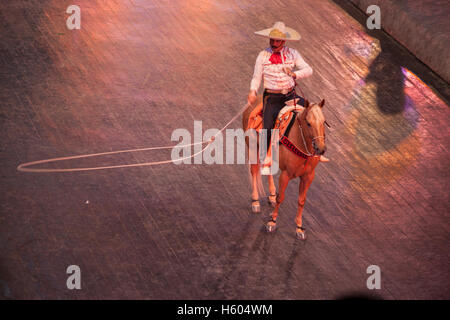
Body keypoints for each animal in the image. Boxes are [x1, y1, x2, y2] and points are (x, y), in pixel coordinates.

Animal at [243, 97, 326, 240]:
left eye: (323, 122)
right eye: (308, 123)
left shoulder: (309, 176)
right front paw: (272, 221)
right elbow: (281, 197)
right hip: (253, 148)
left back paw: (271, 194)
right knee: (254, 171)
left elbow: (302, 200)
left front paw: (299, 227)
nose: (320, 148)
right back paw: (255, 201)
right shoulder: (286, 174)